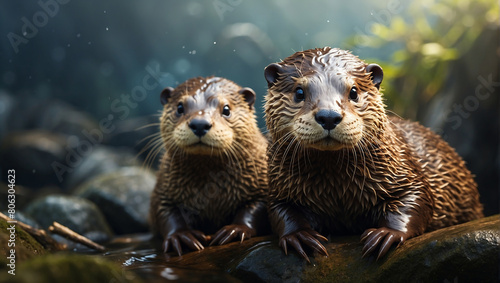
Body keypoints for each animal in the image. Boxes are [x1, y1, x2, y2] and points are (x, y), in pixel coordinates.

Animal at [149, 76, 270, 256]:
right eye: (179, 107)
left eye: (226, 109)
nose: (200, 124)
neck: (212, 194)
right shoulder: (163, 186)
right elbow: (164, 212)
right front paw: (181, 235)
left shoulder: (262, 180)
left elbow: (257, 208)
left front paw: (235, 229)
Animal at [264, 46, 482, 262]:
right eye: (299, 92)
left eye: (353, 91)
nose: (328, 116)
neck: (338, 191)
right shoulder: (280, 186)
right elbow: (279, 210)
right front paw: (299, 236)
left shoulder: (404, 169)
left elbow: (418, 198)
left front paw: (387, 233)